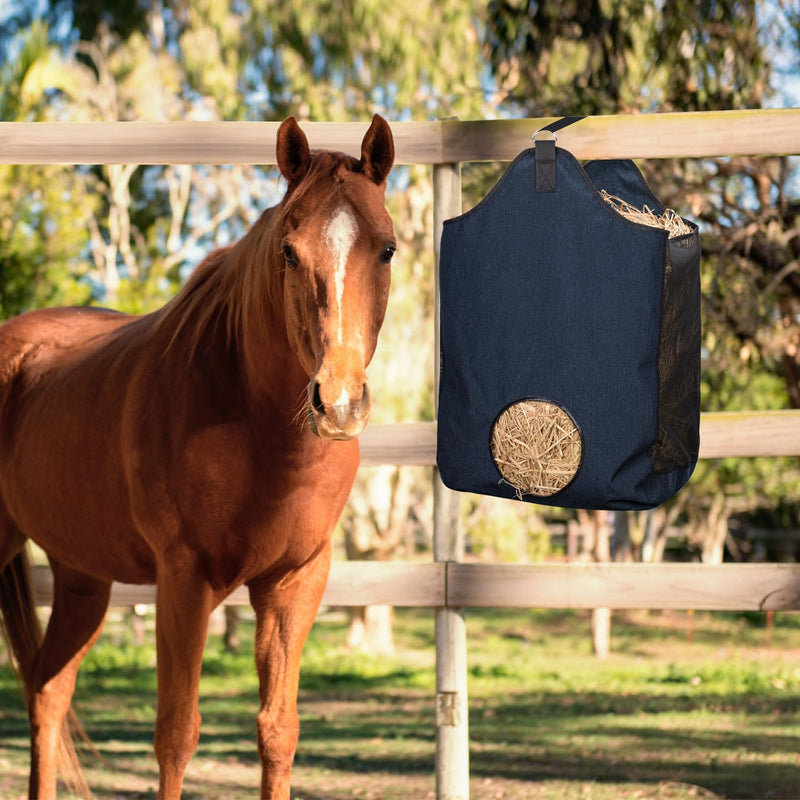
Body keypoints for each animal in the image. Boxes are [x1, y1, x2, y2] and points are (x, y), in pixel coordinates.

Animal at [0, 114, 395, 799]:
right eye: (289, 252)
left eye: (388, 249)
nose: (339, 402)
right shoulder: (184, 580)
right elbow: (177, 736)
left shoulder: (295, 582)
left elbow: (278, 732)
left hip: (82, 578)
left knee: (48, 693)